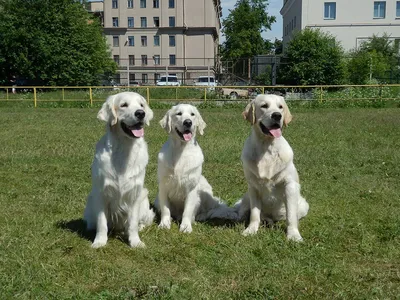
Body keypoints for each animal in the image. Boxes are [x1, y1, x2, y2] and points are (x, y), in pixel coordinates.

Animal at [83, 92, 155, 248]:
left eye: (141, 105)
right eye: (123, 105)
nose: (141, 113)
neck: (124, 148)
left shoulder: (134, 194)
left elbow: (132, 223)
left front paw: (135, 242)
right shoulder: (101, 193)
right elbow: (102, 222)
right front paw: (99, 241)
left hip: (144, 197)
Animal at [154, 104, 238, 233]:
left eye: (192, 114)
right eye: (178, 113)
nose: (188, 122)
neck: (181, 151)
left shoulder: (191, 187)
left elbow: (188, 210)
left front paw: (186, 227)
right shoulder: (163, 186)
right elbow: (165, 209)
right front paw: (164, 224)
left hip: (205, 190)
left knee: (209, 210)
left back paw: (199, 216)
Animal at [238, 94, 310, 241]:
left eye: (280, 107)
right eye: (264, 106)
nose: (277, 115)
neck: (267, 147)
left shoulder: (290, 185)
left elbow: (291, 216)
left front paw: (293, 235)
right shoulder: (253, 187)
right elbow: (255, 213)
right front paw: (251, 230)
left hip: (303, 205)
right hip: (246, 196)